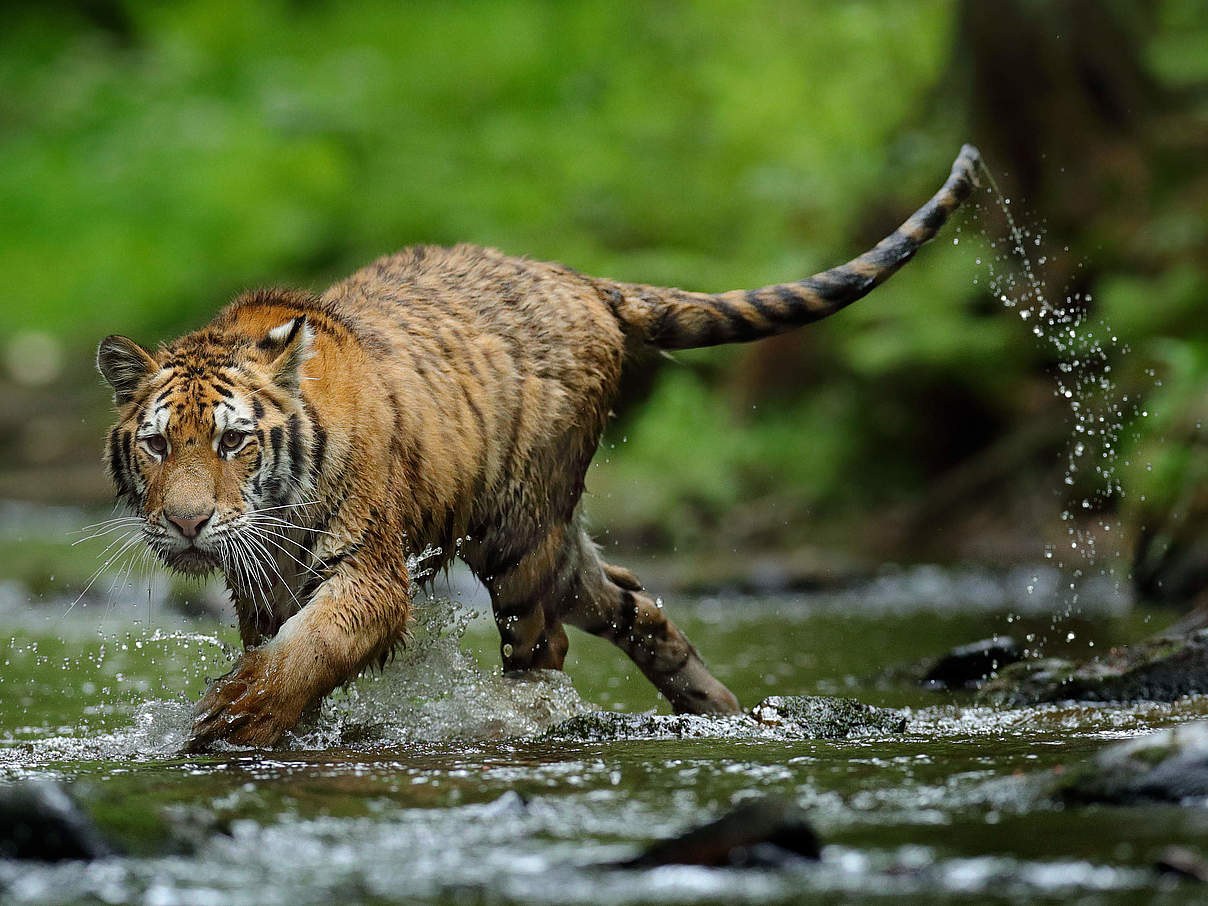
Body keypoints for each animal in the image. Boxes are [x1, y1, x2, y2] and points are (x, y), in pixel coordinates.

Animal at [94, 143, 980, 753]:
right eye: (157, 446)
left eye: (234, 442)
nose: (186, 524)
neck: (269, 524)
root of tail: (581, 279)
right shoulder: (260, 590)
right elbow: (284, 648)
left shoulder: (371, 574)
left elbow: (312, 647)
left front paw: (239, 711)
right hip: (556, 549)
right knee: (633, 602)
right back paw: (720, 711)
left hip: (518, 538)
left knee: (544, 646)